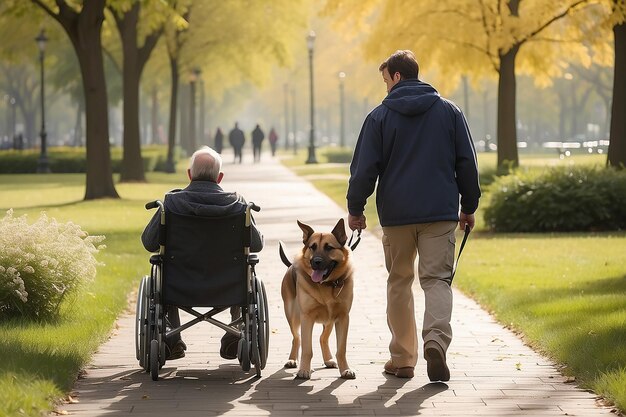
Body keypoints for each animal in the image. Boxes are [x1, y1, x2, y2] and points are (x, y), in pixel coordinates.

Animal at [280, 219, 356, 378]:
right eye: (312, 247)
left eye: (329, 248)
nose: (317, 261)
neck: (327, 285)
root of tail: (291, 265)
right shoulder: (307, 317)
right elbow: (307, 349)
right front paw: (303, 370)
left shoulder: (343, 317)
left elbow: (341, 349)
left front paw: (345, 369)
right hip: (292, 315)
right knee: (297, 338)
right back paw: (292, 360)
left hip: (329, 321)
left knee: (323, 338)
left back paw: (328, 360)